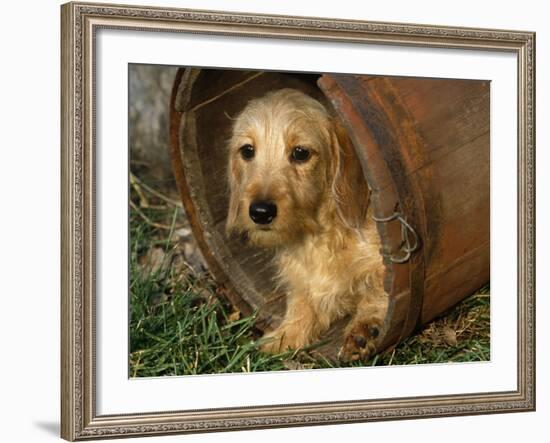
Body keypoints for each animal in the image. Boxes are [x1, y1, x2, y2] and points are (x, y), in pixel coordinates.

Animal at [226, 87, 390, 360]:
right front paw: (283, 337)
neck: (319, 236)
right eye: (247, 151)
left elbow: (378, 288)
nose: (260, 212)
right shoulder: (303, 281)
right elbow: (302, 305)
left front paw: (366, 327)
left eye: (301, 152)